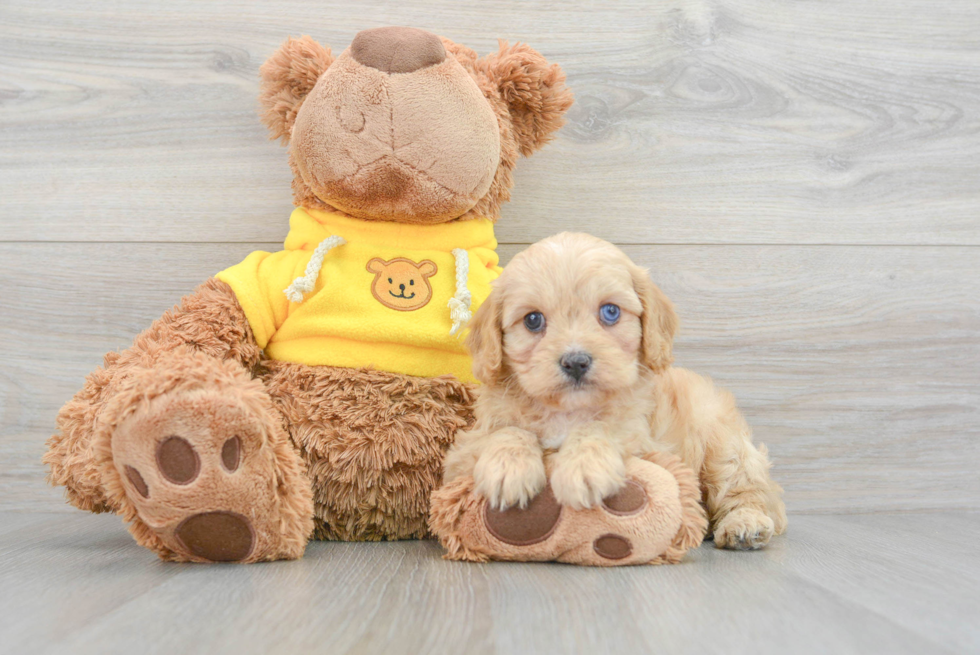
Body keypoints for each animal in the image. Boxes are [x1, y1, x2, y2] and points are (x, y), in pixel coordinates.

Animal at [444, 233, 788, 552]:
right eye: (532, 319)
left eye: (610, 312)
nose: (576, 361)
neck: (568, 411)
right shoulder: (464, 451)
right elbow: (507, 431)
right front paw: (508, 468)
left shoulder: (644, 439)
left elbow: (600, 428)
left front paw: (584, 467)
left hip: (722, 441)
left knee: (751, 490)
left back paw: (745, 524)